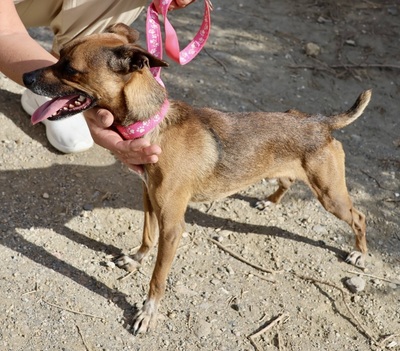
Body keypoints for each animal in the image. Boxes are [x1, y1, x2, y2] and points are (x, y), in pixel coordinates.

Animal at [22, 22, 372, 336]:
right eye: (59, 55)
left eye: (70, 68)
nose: (25, 76)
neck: (154, 125)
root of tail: (321, 123)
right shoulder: (149, 199)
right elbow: (146, 237)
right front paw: (136, 259)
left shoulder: (173, 227)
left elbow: (158, 278)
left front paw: (148, 312)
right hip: (289, 172)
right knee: (286, 181)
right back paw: (269, 201)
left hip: (331, 196)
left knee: (358, 216)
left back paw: (359, 252)